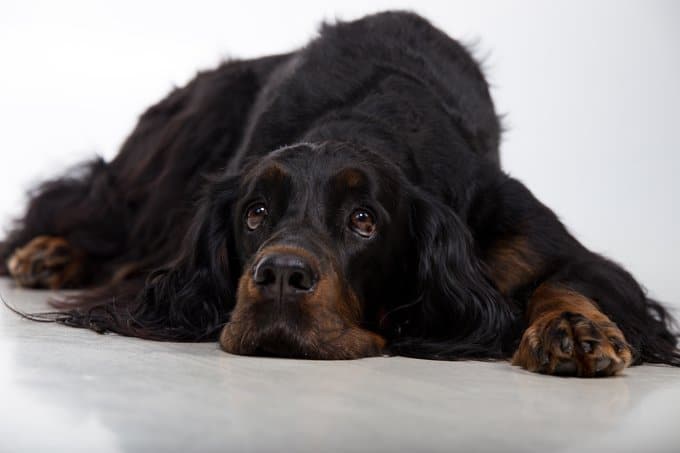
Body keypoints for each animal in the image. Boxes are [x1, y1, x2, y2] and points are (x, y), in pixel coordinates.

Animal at [2, 12, 676, 376]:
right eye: (255, 214)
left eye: (364, 221)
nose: (279, 277)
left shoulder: (524, 229)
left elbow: (573, 276)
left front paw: (574, 328)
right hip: (179, 141)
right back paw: (47, 252)